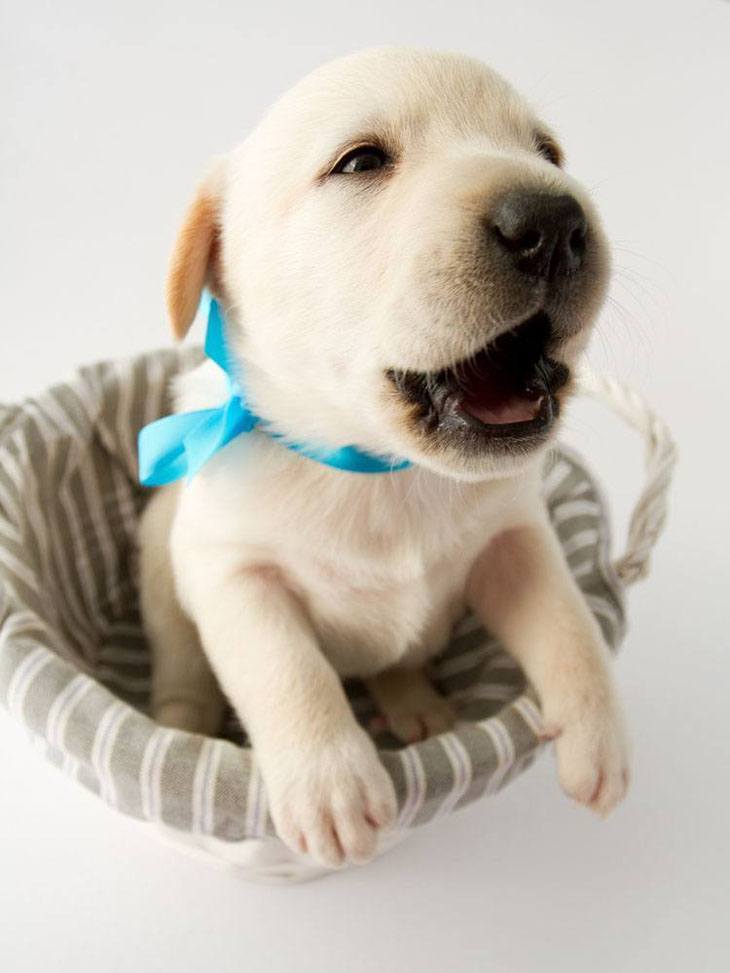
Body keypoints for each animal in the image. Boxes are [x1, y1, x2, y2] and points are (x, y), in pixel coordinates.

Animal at [139, 47, 628, 864]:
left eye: (548, 152)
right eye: (361, 161)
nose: (555, 220)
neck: (380, 470)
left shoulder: (514, 538)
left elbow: (567, 621)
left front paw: (599, 732)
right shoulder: (233, 571)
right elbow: (287, 669)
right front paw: (331, 784)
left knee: (398, 660)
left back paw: (416, 703)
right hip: (159, 564)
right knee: (185, 667)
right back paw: (181, 718)